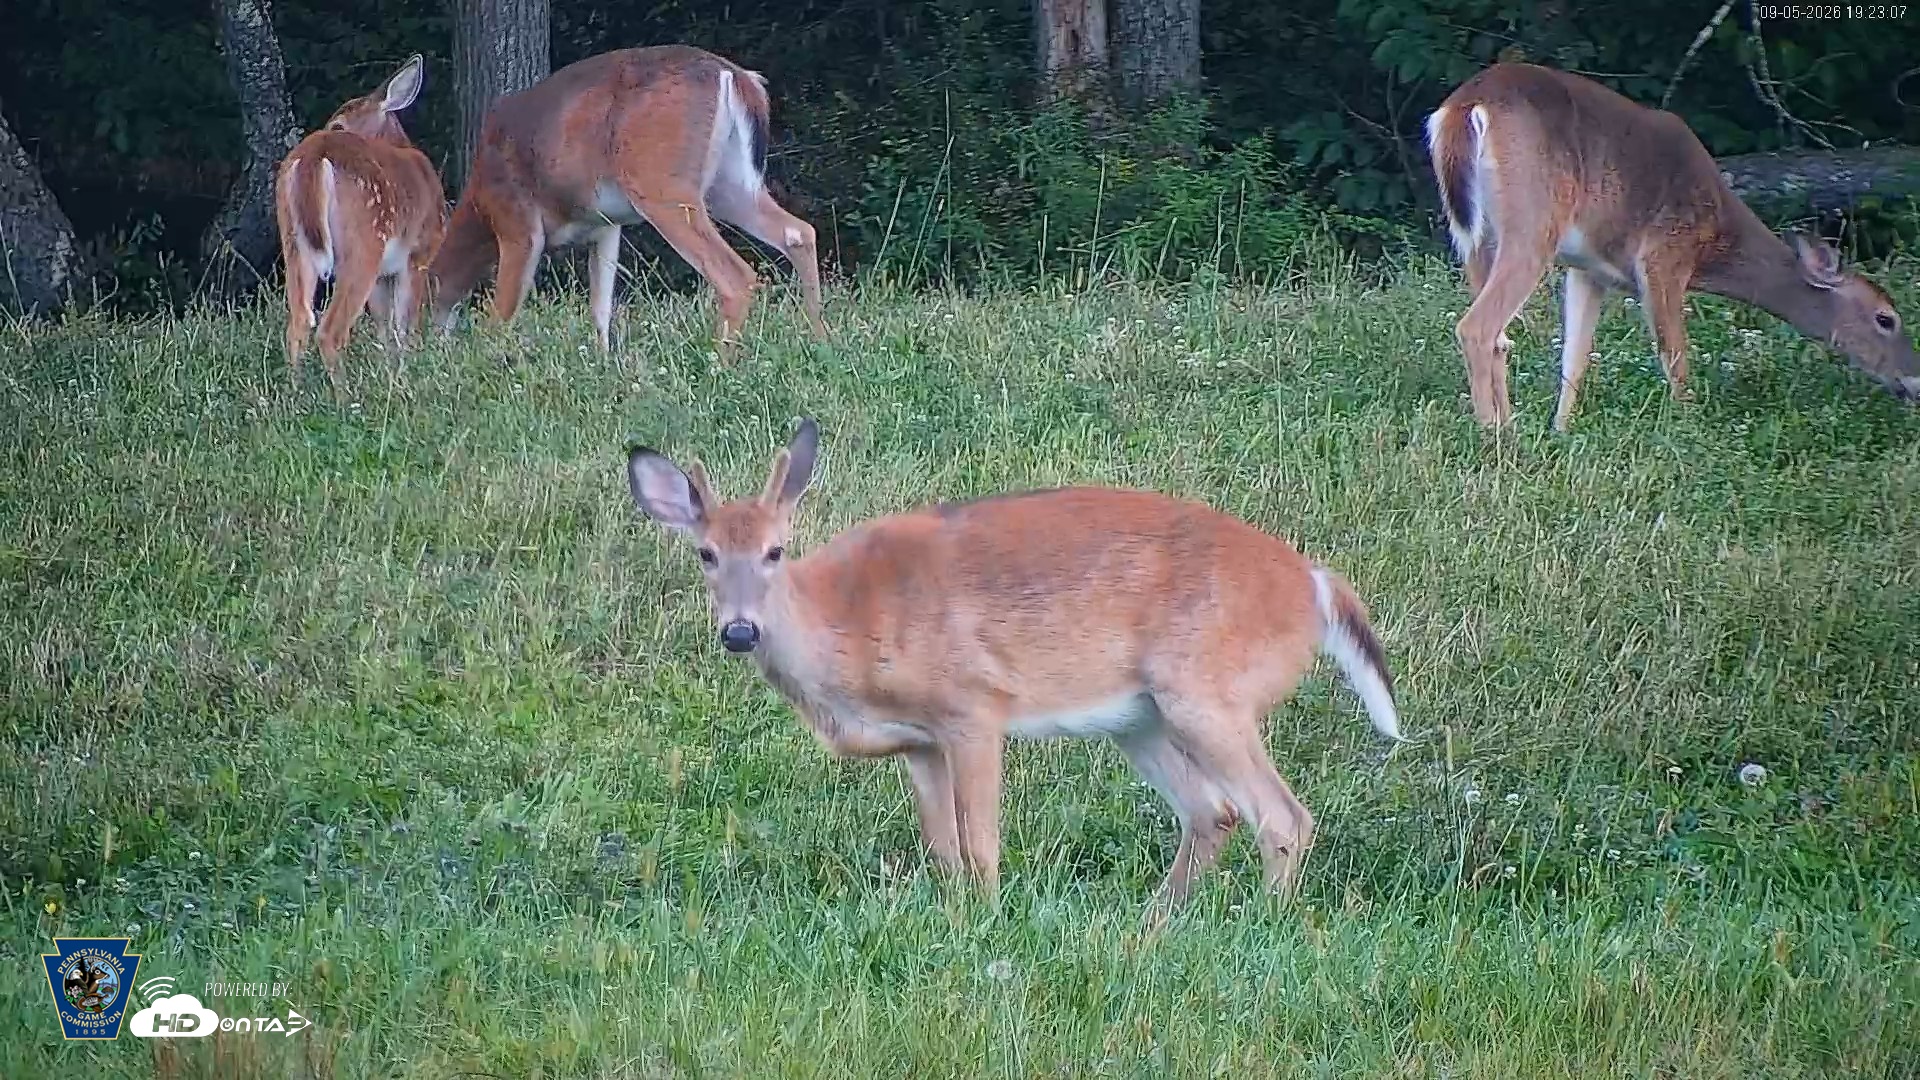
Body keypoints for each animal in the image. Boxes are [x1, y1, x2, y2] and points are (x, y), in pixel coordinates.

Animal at [274, 55, 448, 395]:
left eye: (338, 123)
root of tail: (313, 157)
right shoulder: (419, 253)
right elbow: (405, 326)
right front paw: (407, 380)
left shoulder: (384, 275)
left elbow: (384, 328)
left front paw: (390, 378)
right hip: (363, 240)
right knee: (330, 330)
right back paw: (345, 399)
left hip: (294, 240)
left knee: (298, 321)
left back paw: (294, 394)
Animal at [427, 45, 828, 360]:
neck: (480, 203)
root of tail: (737, 77)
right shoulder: (606, 226)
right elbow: (601, 308)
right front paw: (604, 365)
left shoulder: (517, 223)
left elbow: (501, 316)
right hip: (730, 183)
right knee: (798, 231)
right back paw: (820, 340)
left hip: (664, 184)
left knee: (735, 275)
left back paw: (721, 367)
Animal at [625, 419, 1405, 916]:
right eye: (705, 554)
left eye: (775, 550)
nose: (739, 630)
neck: (846, 625)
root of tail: (1315, 584)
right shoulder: (916, 743)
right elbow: (941, 847)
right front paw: (953, 920)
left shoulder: (972, 706)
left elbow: (981, 843)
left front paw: (990, 919)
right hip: (1140, 719)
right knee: (1213, 812)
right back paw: (1148, 926)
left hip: (1209, 691)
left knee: (1283, 816)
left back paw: (1263, 922)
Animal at [1425, 62, 1920, 432]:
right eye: (1886, 318)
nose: (1914, 380)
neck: (1715, 241)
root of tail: (1465, 105)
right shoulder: (1665, 254)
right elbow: (1676, 356)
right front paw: (1689, 431)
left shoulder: (1589, 269)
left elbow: (1575, 360)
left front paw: (1560, 431)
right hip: (1533, 221)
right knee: (1478, 328)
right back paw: (1493, 437)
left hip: (1474, 235)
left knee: (1499, 335)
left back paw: (1509, 428)